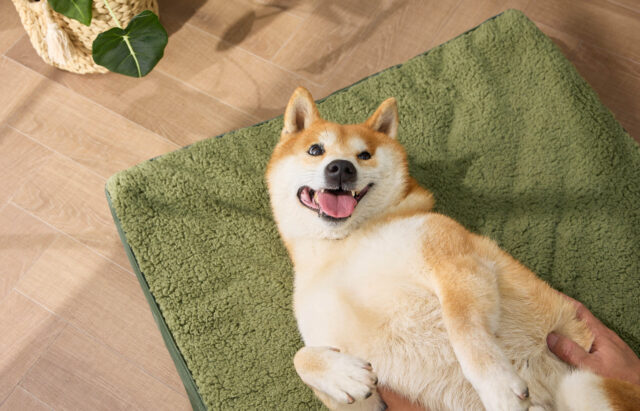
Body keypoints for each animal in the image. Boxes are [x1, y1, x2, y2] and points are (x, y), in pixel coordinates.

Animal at [264, 85, 640, 410]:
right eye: (315, 149)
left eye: (365, 154)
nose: (342, 167)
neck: (342, 247)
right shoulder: (365, 394)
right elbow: (302, 358)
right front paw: (341, 375)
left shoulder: (454, 263)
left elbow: (463, 331)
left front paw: (498, 387)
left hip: (583, 383)